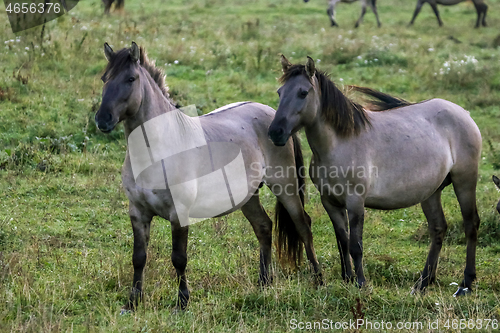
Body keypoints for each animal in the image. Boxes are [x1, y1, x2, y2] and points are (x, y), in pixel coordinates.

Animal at [94, 42, 322, 310]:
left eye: (131, 79)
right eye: (104, 78)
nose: (102, 119)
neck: (157, 151)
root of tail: (276, 118)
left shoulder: (178, 214)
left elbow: (179, 258)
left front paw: (182, 302)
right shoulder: (138, 213)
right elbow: (139, 257)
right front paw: (132, 302)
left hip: (285, 186)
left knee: (303, 225)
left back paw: (318, 279)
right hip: (247, 196)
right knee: (264, 227)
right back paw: (264, 282)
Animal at [268, 55, 482, 296]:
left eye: (303, 93)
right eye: (280, 92)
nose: (275, 132)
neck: (339, 144)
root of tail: (463, 113)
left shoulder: (355, 201)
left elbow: (355, 245)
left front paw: (361, 283)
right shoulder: (330, 202)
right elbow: (342, 241)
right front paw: (348, 279)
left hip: (465, 181)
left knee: (470, 224)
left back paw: (465, 284)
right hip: (431, 192)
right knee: (438, 229)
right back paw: (422, 283)